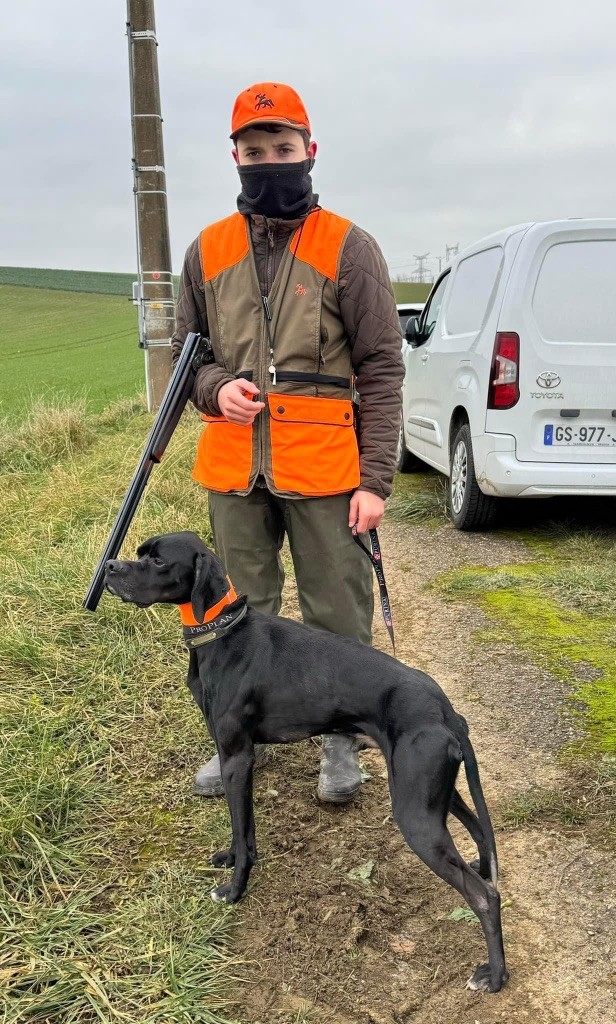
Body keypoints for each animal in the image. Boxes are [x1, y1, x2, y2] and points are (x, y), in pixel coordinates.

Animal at [104, 532, 507, 987]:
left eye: (157, 561)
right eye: (140, 553)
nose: (110, 568)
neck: (222, 632)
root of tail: (445, 710)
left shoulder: (237, 757)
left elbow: (242, 828)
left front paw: (234, 889)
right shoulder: (232, 759)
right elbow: (241, 829)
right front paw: (231, 858)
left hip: (415, 814)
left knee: (484, 896)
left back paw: (494, 975)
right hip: (434, 793)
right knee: (480, 833)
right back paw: (482, 870)